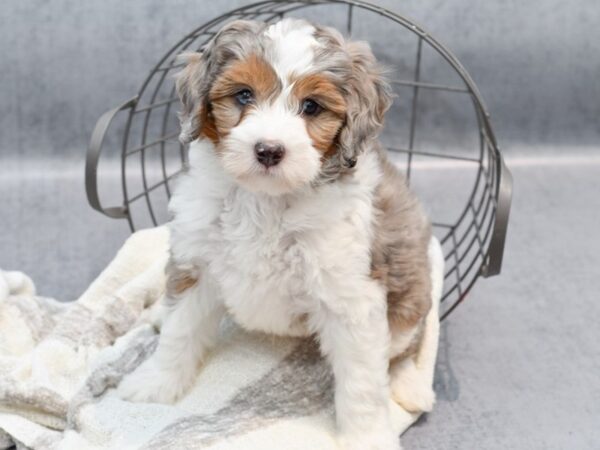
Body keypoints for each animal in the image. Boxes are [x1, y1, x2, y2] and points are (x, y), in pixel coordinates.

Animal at [117, 18, 434, 450]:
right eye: (243, 95)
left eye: (311, 106)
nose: (268, 150)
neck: (266, 201)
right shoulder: (197, 262)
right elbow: (180, 330)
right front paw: (157, 382)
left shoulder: (351, 297)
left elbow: (363, 381)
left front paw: (367, 437)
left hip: (409, 295)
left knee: (403, 349)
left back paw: (410, 384)